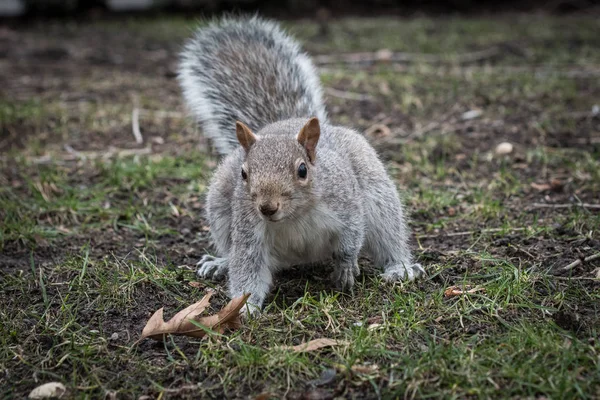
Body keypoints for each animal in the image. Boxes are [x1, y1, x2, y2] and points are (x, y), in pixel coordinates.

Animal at [176, 15, 424, 314]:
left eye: (302, 170)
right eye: (244, 174)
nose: (267, 208)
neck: (294, 216)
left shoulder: (346, 205)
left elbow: (351, 239)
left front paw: (345, 268)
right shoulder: (249, 232)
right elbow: (247, 267)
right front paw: (243, 309)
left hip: (378, 196)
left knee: (389, 236)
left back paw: (399, 267)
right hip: (220, 207)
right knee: (230, 248)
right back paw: (220, 263)